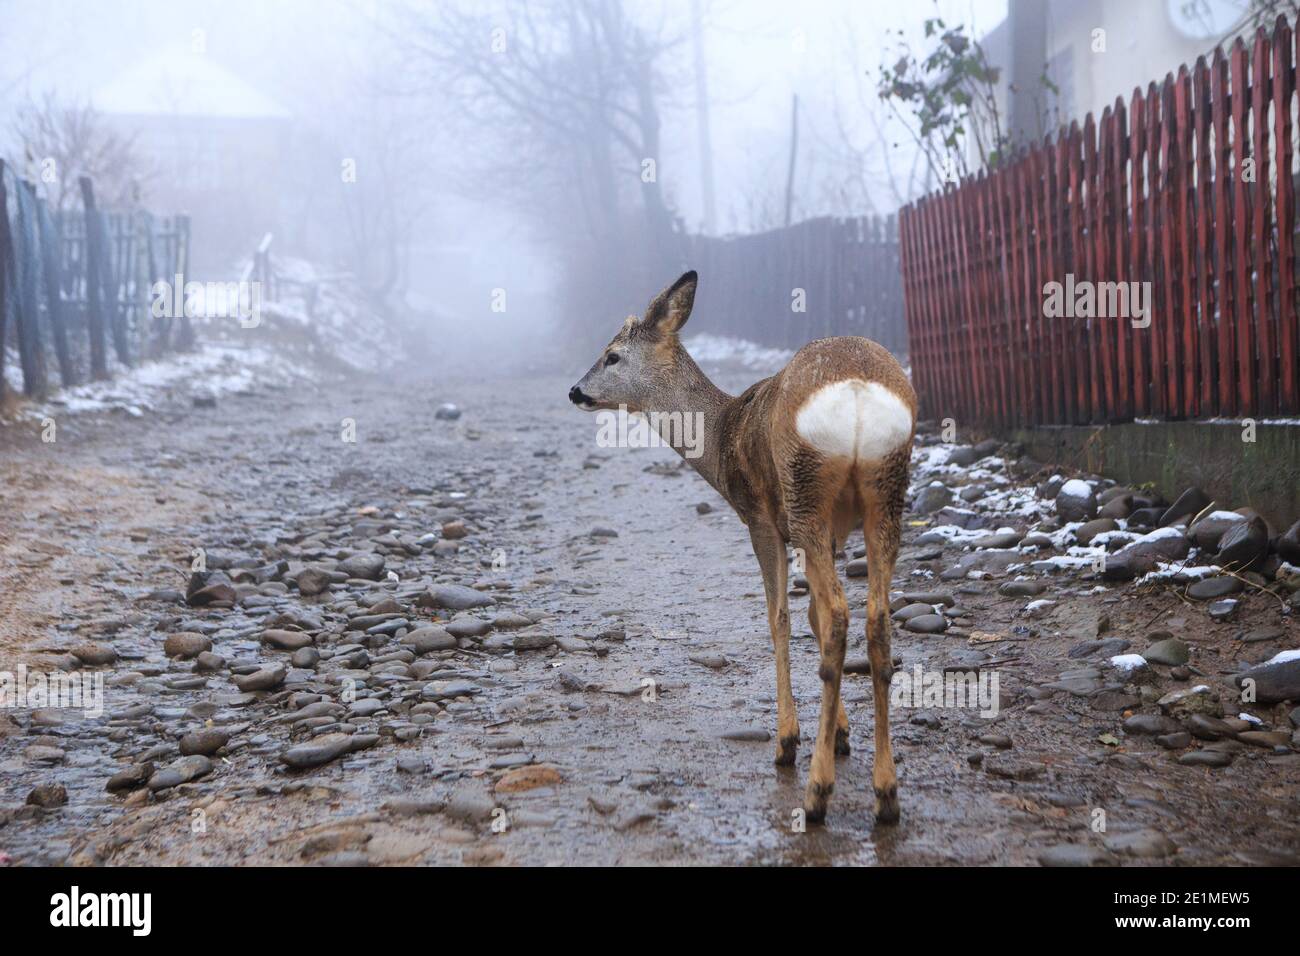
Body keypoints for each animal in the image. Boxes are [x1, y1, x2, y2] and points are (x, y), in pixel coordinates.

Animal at [569, 269, 915, 822]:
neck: (721, 435)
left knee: (841, 615)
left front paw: (791, 740)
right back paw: (886, 793)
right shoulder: (832, 530)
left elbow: (781, 618)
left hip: (805, 488)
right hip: (886, 492)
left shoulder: (760, 518)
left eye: (612, 355)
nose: (575, 391)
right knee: (874, 619)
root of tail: (859, 393)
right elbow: (813, 616)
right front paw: (840, 733)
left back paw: (816, 789)